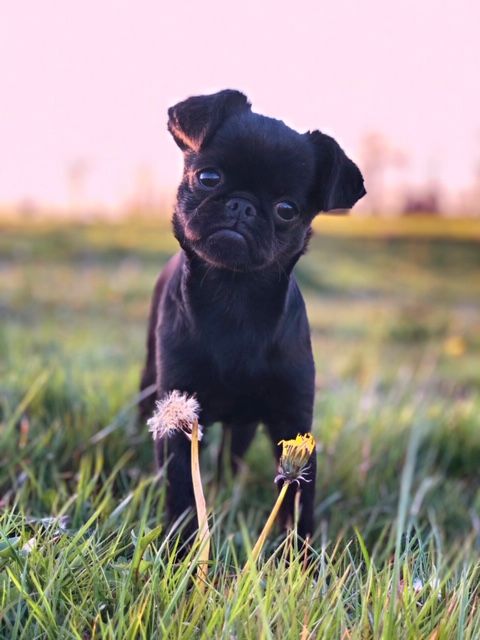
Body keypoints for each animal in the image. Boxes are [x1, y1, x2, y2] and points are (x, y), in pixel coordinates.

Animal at [141, 89, 366, 540]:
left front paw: (300, 552)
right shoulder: (178, 410)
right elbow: (180, 485)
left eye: (287, 209)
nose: (242, 206)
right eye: (209, 178)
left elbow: (299, 498)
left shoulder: (292, 419)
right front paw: (181, 544)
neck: (235, 296)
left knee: (233, 454)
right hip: (151, 380)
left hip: (242, 425)